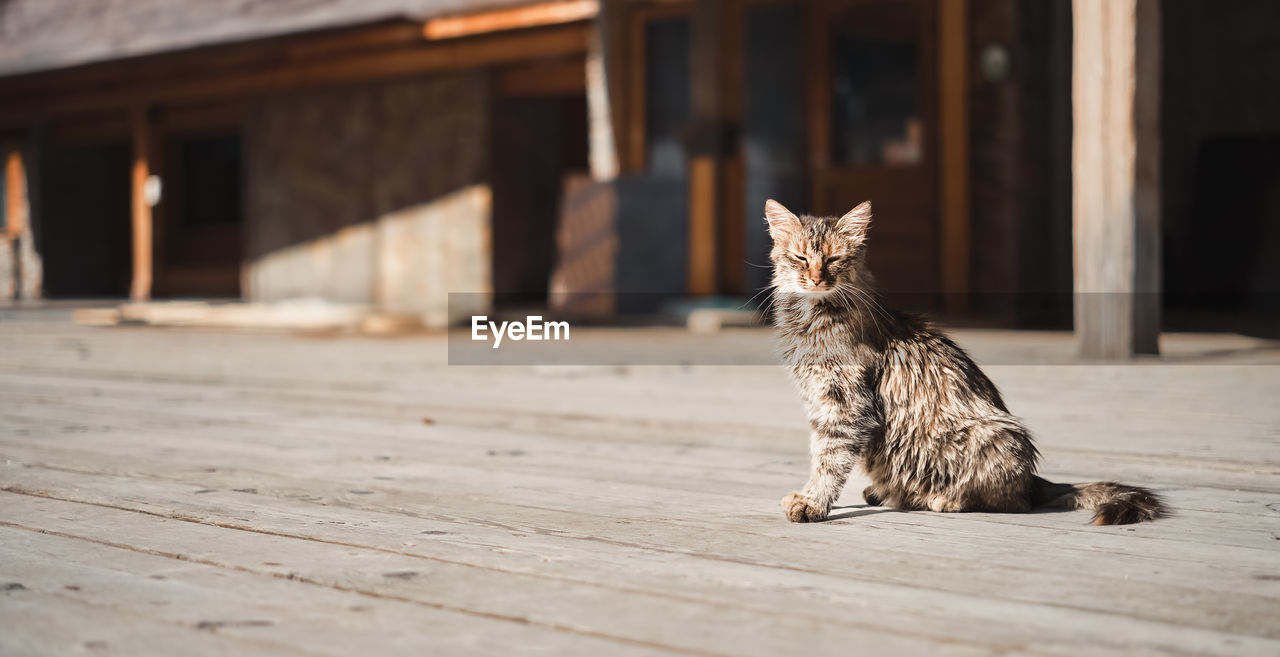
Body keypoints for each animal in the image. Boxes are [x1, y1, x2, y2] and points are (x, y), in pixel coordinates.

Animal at [762, 197, 1167, 525]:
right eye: (800, 257)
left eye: (833, 259)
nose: (817, 279)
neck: (811, 318)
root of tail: (1034, 479)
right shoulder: (819, 403)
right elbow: (819, 453)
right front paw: (809, 495)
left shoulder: (845, 404)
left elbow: (829, 459)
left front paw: (814, 503)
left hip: (993, 436)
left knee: (1014, 501)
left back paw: (937, 498)